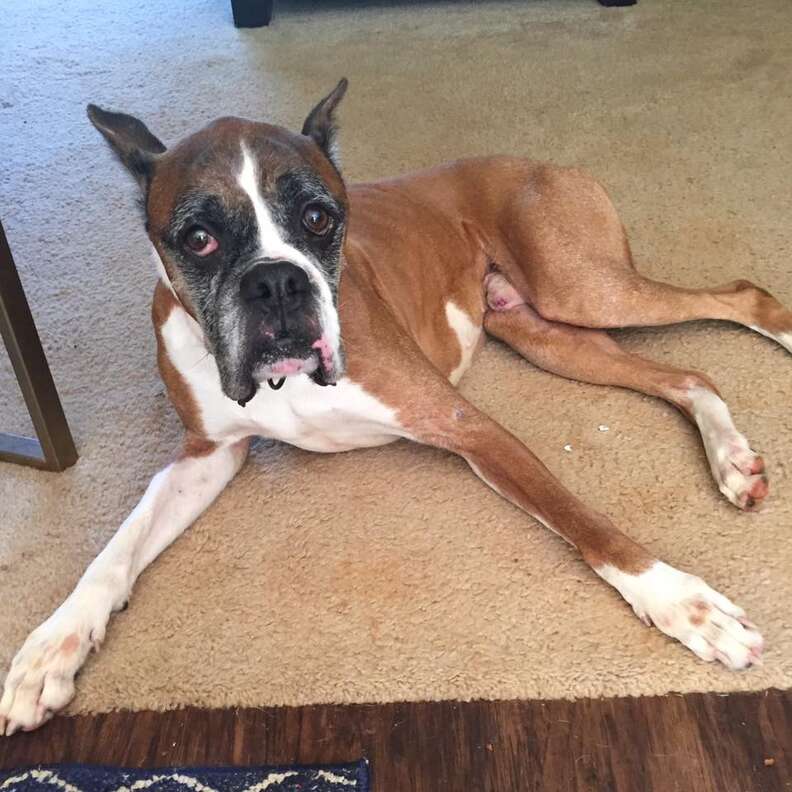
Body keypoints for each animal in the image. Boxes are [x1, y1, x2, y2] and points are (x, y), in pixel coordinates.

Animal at [3, 77, 788, 732]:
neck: (289, 383)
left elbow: (584, 522)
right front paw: (51, 648)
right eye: (198, 238)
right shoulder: (203, 457)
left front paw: (684, 605)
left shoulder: (466, 426)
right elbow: (116, 548)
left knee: (744, 296)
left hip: (584, 288)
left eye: (319, 218)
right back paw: (732, 459)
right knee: (689, 376)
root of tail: (538, 162)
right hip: (549, 334)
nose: (277, 283)